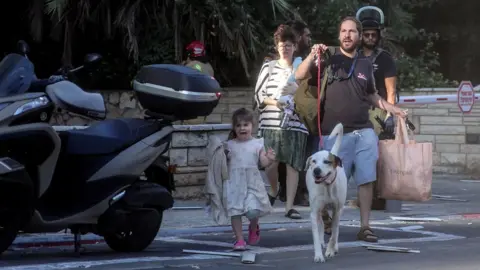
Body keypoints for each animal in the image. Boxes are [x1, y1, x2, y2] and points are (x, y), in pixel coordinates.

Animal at [306, 123, 346, 262]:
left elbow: (334, 233)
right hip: (319, 208)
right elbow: (315, 236)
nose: (316, 170)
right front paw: (318, 255)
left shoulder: (337, 210)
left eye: (327, 162)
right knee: (321, 223)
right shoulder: (314, 212)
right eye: (313, 161)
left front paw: (330, 250)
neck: (327, 186)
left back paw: (334, 247)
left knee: (336, 229)